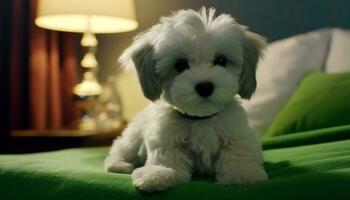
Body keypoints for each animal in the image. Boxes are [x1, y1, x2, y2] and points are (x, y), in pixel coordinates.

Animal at [105, 7, 266, 192]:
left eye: (221, 60)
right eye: (180, 65)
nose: (205, 86)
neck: (200, 118)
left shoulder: (238, 134)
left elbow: (238, 153)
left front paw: (242, 173)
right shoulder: (165, 139)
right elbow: (166, 157)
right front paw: (159, 174)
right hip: (133, 137)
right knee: (120, 148)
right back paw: (119, 165)